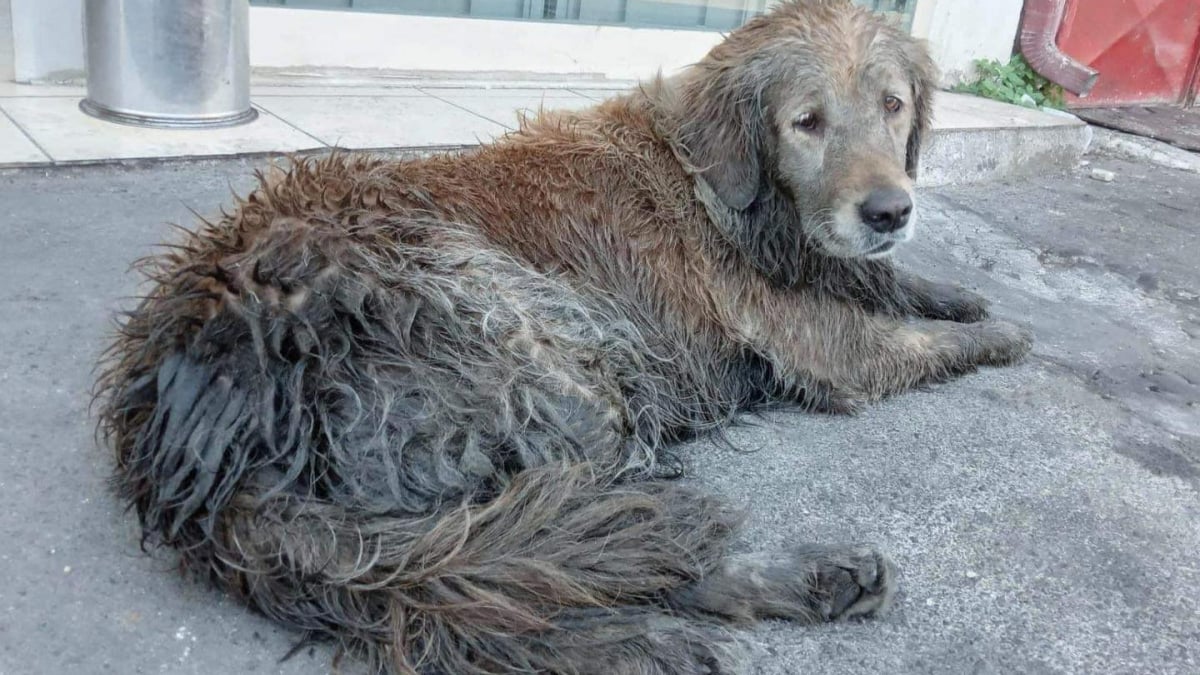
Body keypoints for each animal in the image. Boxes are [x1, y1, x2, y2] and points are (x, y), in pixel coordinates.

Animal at [96, 2, 1032, 667]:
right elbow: (916, 340)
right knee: (611, 537)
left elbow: (895, 283)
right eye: (808, 121)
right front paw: (1008, 333)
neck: (722, 183)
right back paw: (808, 575)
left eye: (893, 106)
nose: (889, 210)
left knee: (577, 543)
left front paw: (956, 290)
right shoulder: (826, 345)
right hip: (559, 353)